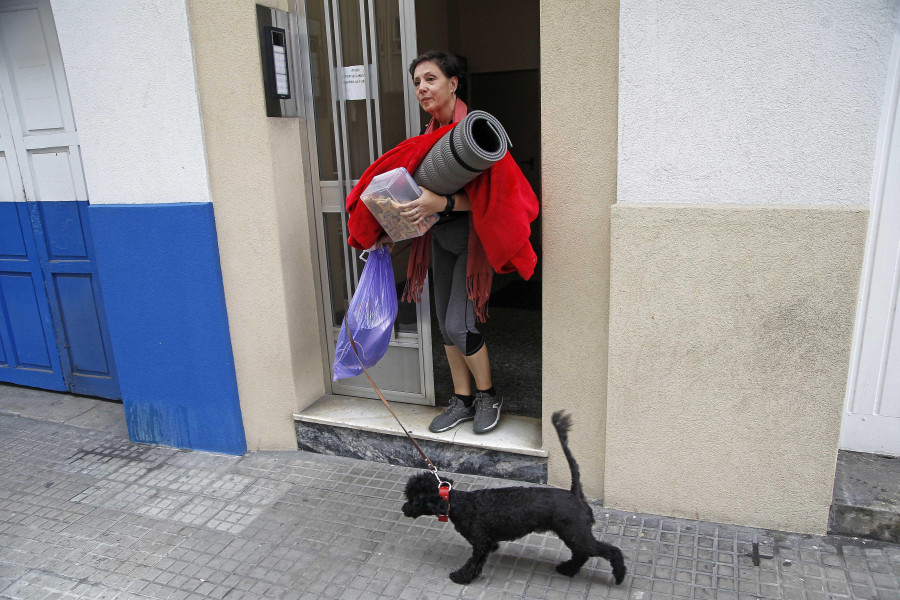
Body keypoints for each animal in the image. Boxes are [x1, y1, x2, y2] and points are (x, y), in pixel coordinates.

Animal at [400, 410, 624, 584]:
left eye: (414, 499)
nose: (403, 509)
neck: (460, 504)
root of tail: (574, 494)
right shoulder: (486, 541)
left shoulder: (480, 542)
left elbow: (474, 562)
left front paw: (462, 576)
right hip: (574, 535)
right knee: (582, 554)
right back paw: (568, 569)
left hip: (576, 534)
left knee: (609, 551)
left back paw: (619, 575)